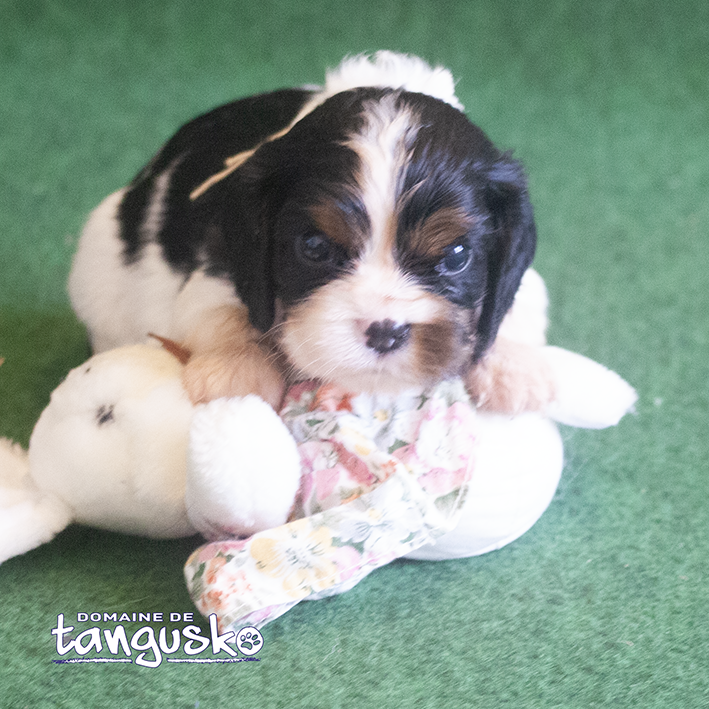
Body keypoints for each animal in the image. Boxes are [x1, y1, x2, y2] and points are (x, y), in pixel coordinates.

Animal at [68, 51, 552, 410]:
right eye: (315, 247)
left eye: (455, 256)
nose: (385, 332)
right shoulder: (221, 257)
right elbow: (220, 307)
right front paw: (235, 368)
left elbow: (518, 301)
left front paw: (516, 368)